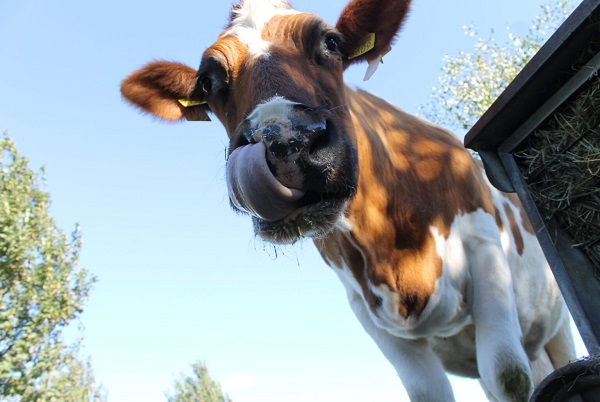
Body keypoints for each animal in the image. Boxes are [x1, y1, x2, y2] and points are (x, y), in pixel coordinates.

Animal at [122, 0, 576, 400]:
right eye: (208, 82)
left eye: (331, 42)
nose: (285, 141)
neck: (392, 245)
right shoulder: (365, 308)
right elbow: (430, 391)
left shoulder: (483, 247)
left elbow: (508, 374)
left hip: (555, 324)